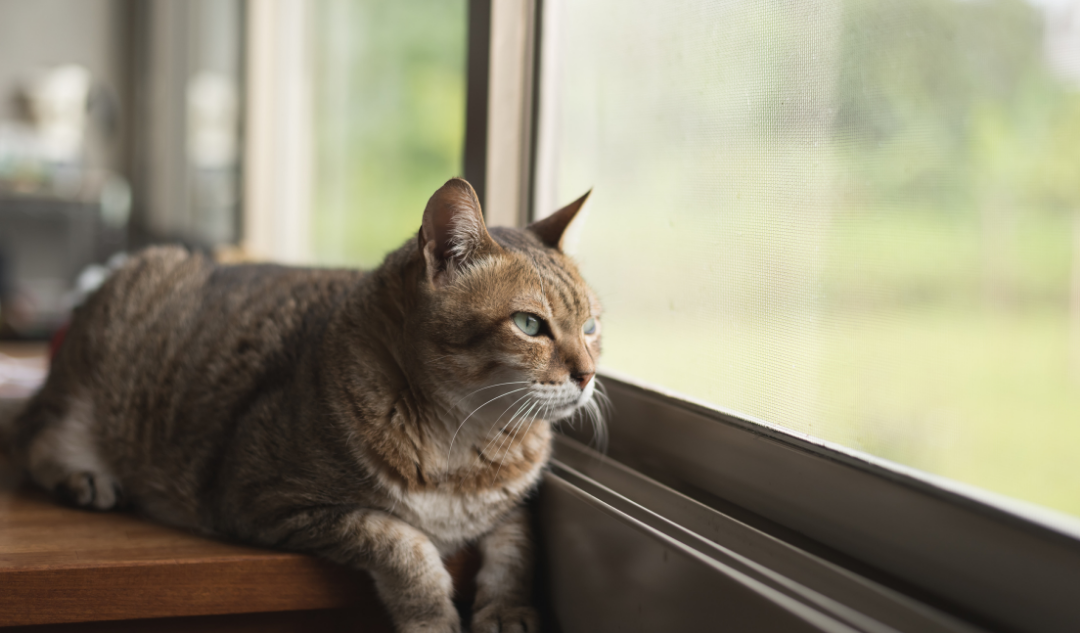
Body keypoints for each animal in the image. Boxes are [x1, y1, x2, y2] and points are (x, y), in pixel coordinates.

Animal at [6, 178, 600, 630]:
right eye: (529, 325)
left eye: (591, 327)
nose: (589, 375)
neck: (463, 437)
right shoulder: (272, 500)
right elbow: (403, 542)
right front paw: (431, 614)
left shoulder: (511, 507)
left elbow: (518, 549)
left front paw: (508, 610)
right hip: (89, 389)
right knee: (34, 440)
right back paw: (84, 477)